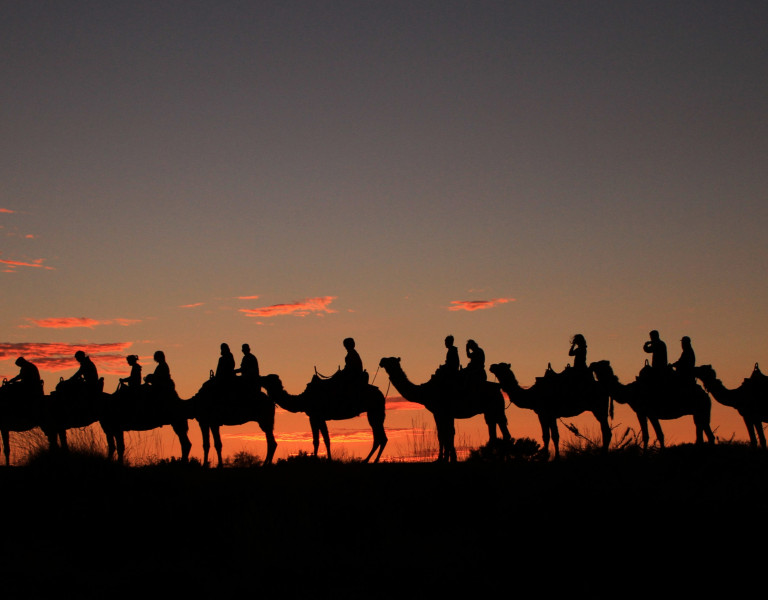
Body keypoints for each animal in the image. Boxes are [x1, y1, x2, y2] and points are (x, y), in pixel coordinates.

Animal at [378, 357, 511, 462]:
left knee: (503, 432)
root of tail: (499, 388)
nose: (382, 361)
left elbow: (442, 434)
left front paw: (442, 458)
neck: (424, 392)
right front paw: (450, 458)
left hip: (495, 408)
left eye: (391, 360)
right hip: (491, 411)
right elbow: (448, 433)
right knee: (495, 431)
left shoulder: (439, 412)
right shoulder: (445, 413)